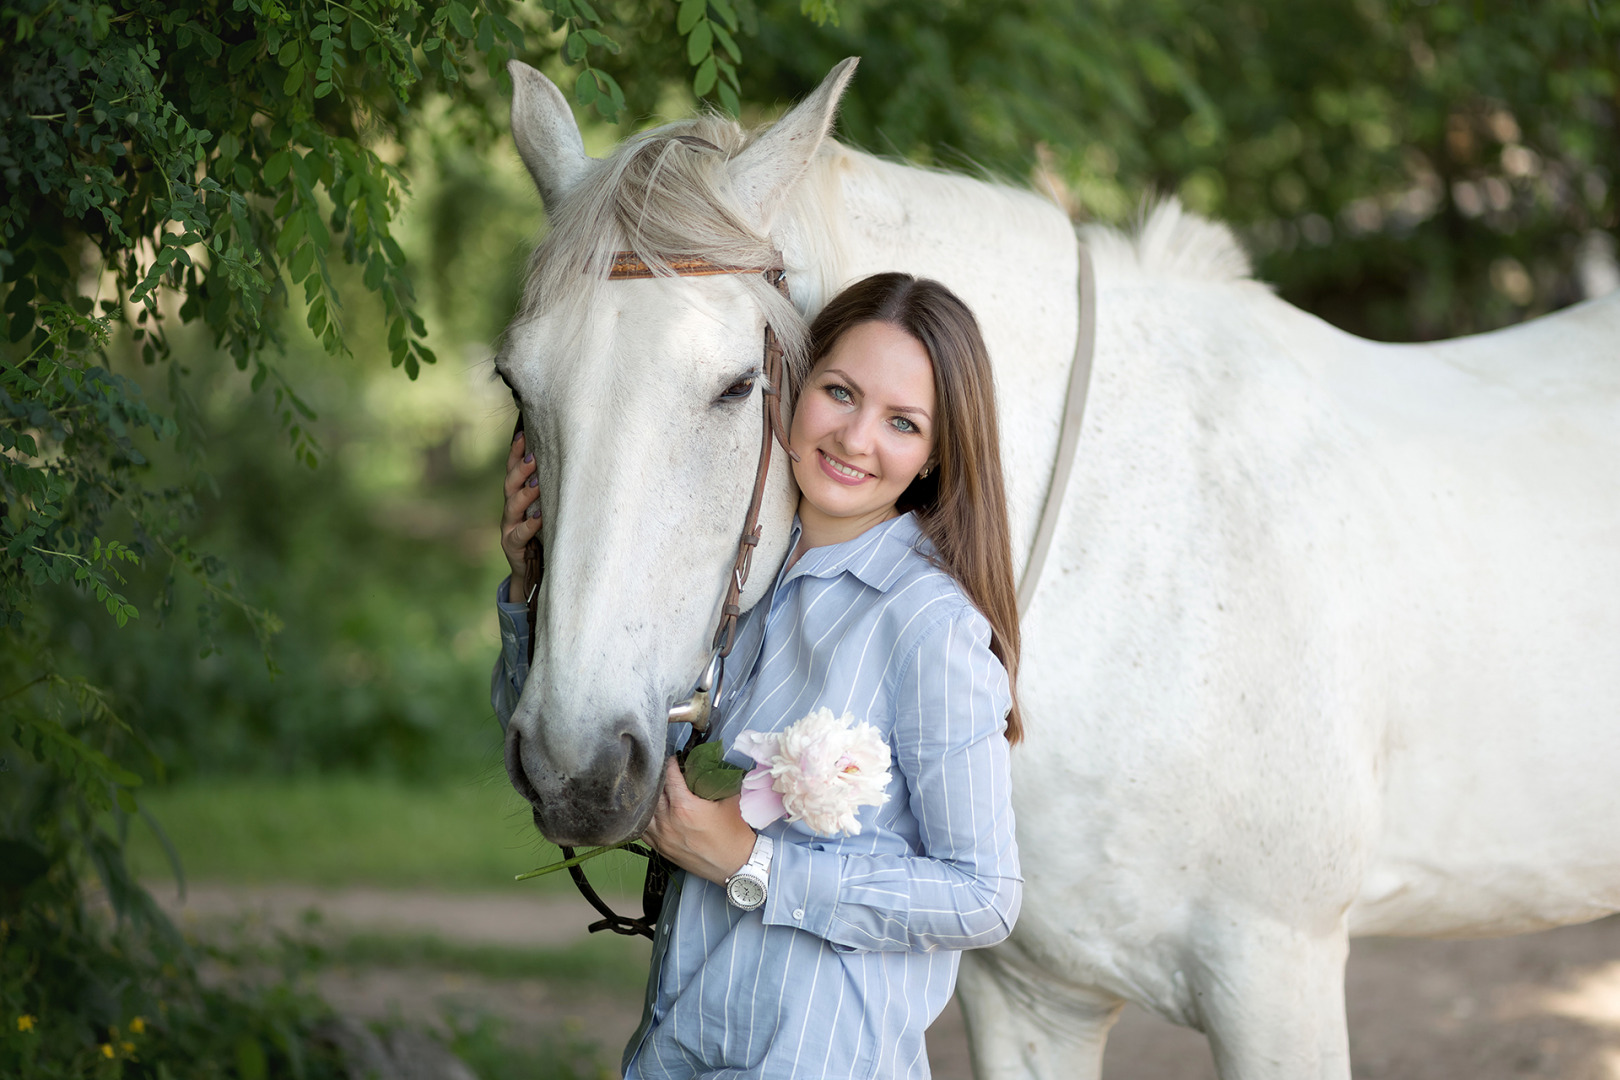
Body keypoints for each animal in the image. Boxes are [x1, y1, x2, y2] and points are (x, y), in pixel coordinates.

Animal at [495, 59, 1620, 1080]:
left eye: (735, 386)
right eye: (516, 382)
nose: (573, 768)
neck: (1118, 568)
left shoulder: (1279, 977)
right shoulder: (1033, 999)